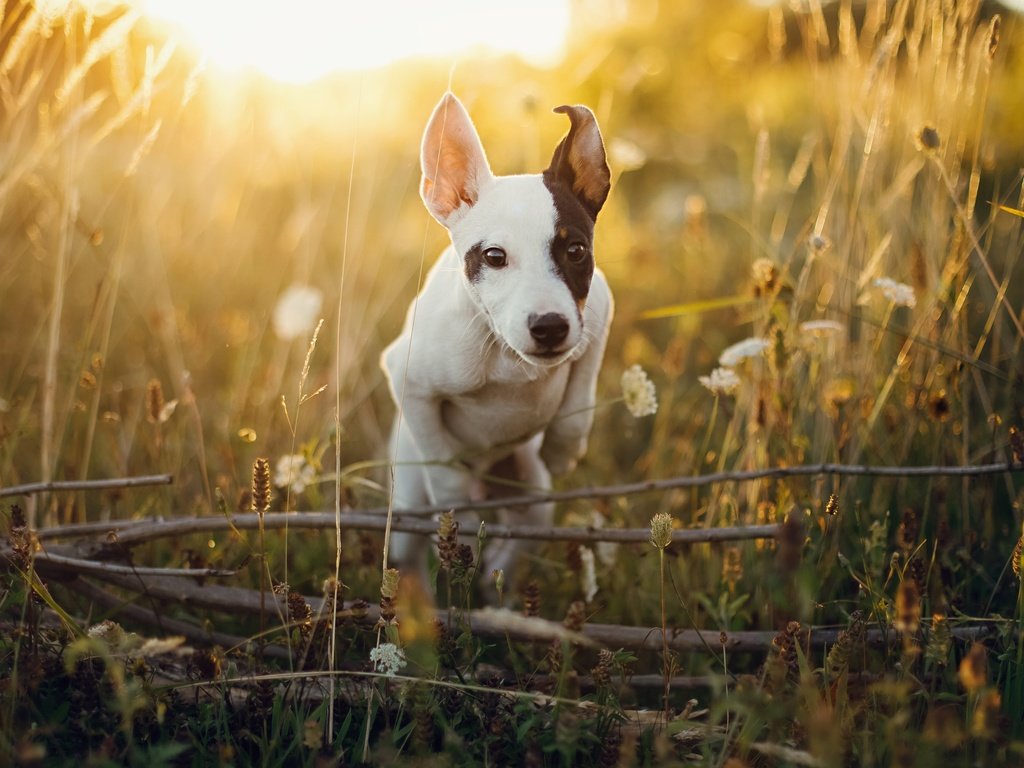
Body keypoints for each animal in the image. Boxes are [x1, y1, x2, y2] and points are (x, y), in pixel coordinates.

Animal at [380, 93, 610, 581]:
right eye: (494, 256)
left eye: (576, 250)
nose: (550, 326)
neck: (504, 355)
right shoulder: (410, 382)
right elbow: (443, 467)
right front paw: (456, 517)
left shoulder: (597, 314)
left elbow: (579, 395)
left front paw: (564, 449)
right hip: (406, 499)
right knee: (408, 556)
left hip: (533, 494)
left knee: (522, 533)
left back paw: (493, 577)